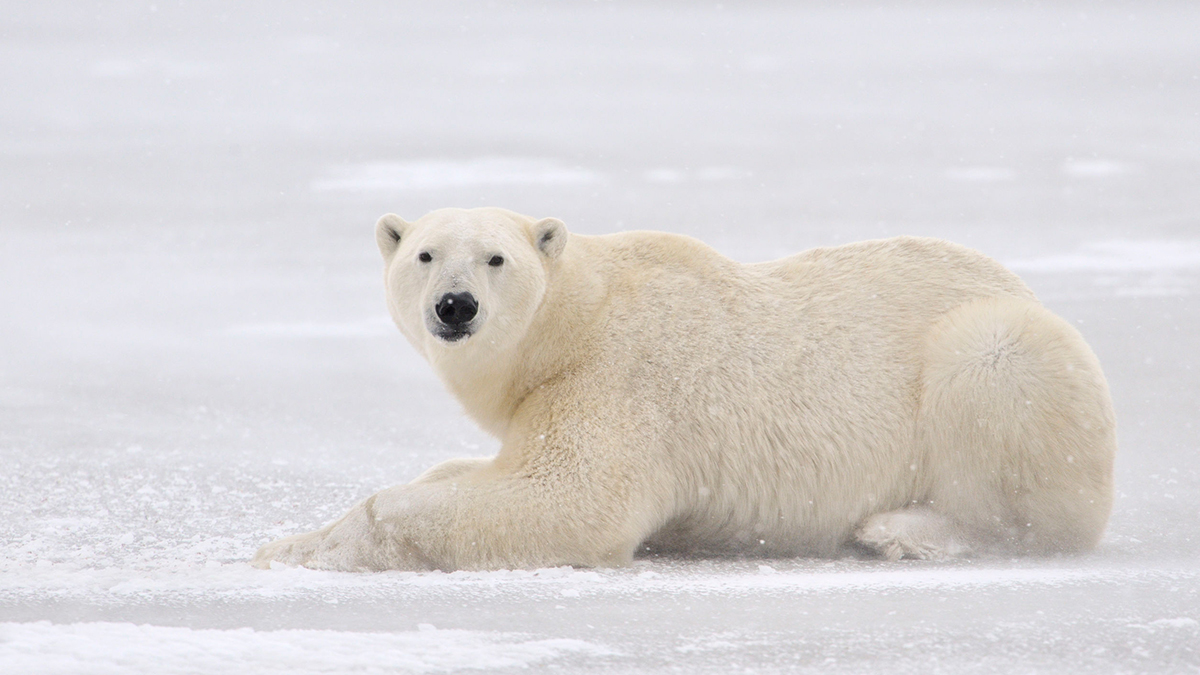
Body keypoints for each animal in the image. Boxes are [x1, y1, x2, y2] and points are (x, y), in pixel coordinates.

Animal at [250, 207, 1113, 569]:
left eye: (496, 258)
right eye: (424, 254)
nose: (454, 306)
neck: (578, 318)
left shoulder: (620, 380)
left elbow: (569, 500)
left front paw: (312, 548)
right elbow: (465, 471)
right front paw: (292, 538)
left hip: (1004, 353)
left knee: (1000, 398)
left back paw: (901, 530)